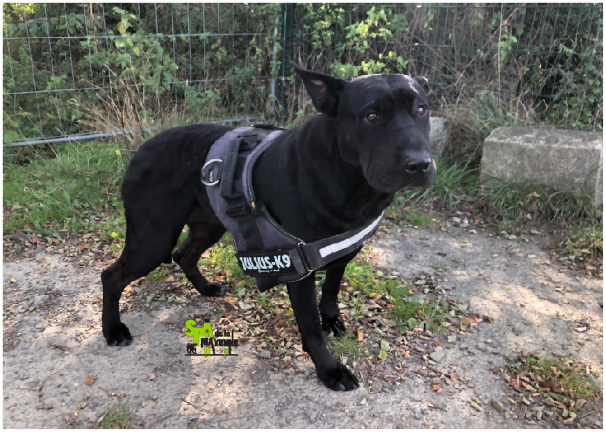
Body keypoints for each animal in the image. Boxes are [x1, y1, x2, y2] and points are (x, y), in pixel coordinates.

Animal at [103, 63, 436, 392]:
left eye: (422, 110)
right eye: (372, 116)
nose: (420, 165)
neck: (343, 177)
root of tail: (141, 149)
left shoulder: (341, 252)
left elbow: (330, 291)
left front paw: (331, 320)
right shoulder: (299, 269)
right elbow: (311, 327)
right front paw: (329, 370)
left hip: (209, 225)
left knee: (184, 254)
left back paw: (206, 288)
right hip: (153, 239)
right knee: (112, 275)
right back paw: (113, 329)